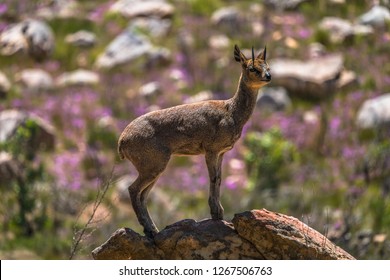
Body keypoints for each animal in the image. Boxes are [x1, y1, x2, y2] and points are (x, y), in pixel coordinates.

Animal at [119, 44, 272, 237]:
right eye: (251, 68)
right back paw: (151, 230)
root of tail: (122, 140)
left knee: (142, 195)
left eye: (268, 66)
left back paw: (151, 229)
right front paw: (216, 213)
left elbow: (220, 178)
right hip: (153, 165)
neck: (231, 112)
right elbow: (213, 178)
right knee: (133, 190)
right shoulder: (211, 150)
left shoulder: (221, 152)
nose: (268, 76)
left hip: (153, 168)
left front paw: (219, 212)